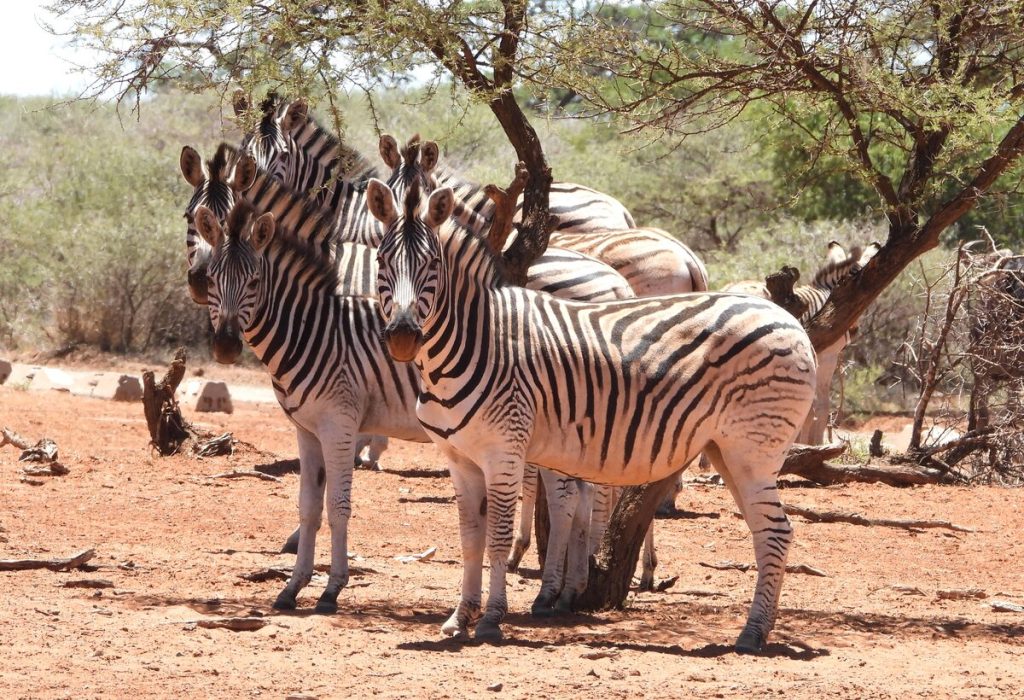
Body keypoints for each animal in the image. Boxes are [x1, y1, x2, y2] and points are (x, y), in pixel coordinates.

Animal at [192, 150, 640, 614]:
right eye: (213, 279)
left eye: (253, 282)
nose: (225, 346)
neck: (313, 328)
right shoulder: (307, 429)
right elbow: (308, 508)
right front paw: (292, 587)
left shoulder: (340, 423)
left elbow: (338, 506)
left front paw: (332, 589)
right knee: (578, 498)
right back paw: (568, 590)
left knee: (567, 499)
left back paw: (550, 593)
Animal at [366, 179, 817, 652]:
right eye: (381, 262)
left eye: (432, 265)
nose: (402, 338)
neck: (474, 343)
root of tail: (789, 319)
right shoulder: (459, 457)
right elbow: (470, 539)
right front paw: (459, 617)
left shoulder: (505, 450)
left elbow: (497, 538)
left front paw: (490, 619)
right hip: (729, 453)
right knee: (768, 531)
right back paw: (760, 626)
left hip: (752, 451)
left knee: (776, 531)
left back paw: (752, 632)